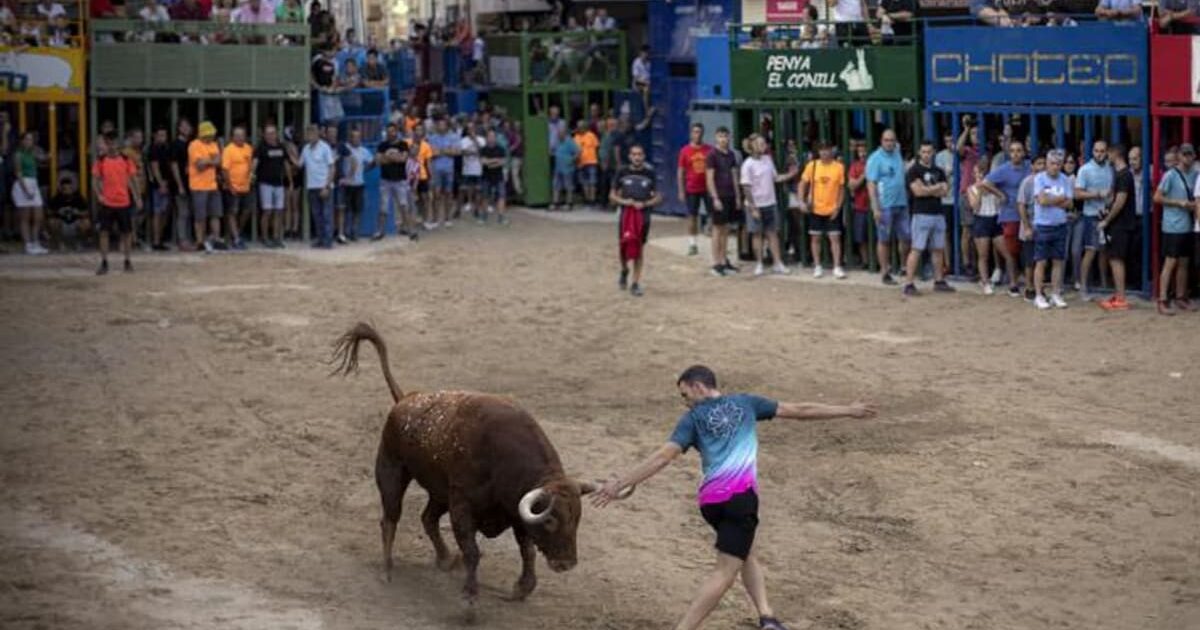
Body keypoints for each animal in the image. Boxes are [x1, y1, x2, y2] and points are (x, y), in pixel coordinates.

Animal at [331, 321, 628, 614]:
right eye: (551, 520)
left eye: (577, 518)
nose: (566, 564)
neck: (501, 458)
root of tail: (405, 400)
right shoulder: (463, 505)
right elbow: (473, 551)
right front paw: (469, 599)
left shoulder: (513, 510)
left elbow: (527, 549)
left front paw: (522, 588)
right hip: (392, 472)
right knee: (390, 519)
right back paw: (387, 570)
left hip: (440, 493)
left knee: (428, 518)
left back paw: (445, 559)